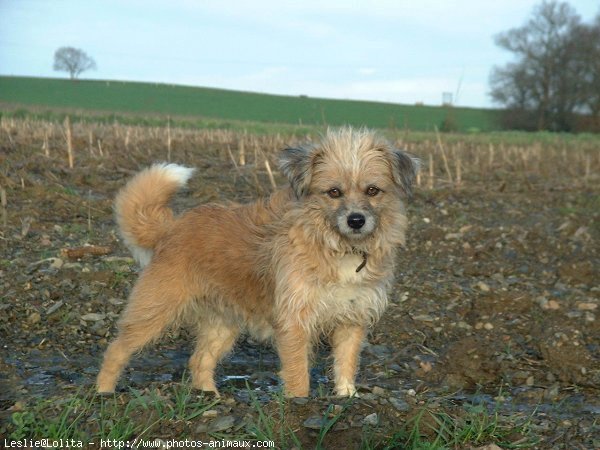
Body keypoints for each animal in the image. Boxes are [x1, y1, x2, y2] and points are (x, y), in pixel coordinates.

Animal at [97, 126, 418, 398]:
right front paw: (299, 404)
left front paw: (347, 397)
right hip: (154, 308)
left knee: (200, 358)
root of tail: (172, 227)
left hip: (223, 321)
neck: (340, 248)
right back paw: (104, 392)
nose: (356, 220)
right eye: (334, 192)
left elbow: (347, 362)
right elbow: (298, 372)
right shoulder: (295, 320)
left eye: (373, 190)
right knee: (116, 349)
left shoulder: (352, 318)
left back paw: (210, 396)